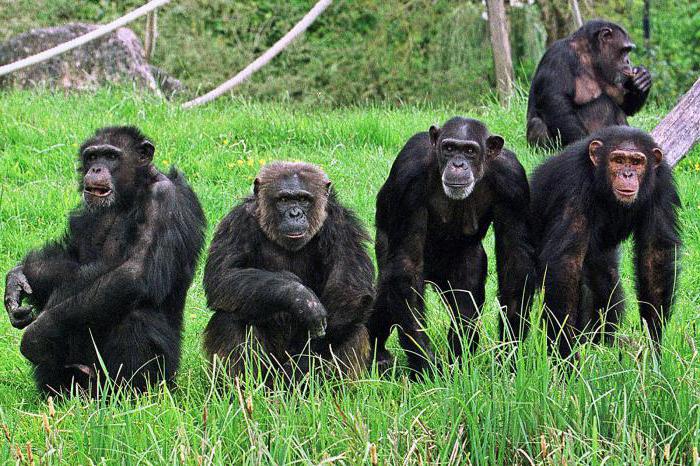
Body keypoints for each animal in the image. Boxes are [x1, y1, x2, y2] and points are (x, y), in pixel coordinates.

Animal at [3, 125, 205, 396]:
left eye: (110, 156)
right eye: (92, 156)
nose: (96, 169)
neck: (130, 194)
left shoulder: (165, 199)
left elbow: (135, 271)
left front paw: (39, 332)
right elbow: (73, 261)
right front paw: (17, 278)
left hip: (163, 374)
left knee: (135, 316)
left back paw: (134, 394)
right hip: (80, 377)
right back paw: (57, 395)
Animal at [205, 162, 374, 380]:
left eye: (303, 199)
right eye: (284, 199)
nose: (295, 214)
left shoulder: (343, 227)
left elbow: (348, 288)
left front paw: (303, 364)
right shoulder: (237, 223)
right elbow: (222, 276)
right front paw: (301, 298)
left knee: (354, 328)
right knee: (228, 318)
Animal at [366, 117, 536, 374]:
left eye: (470, 151)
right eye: (448, 148)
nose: (457, 164)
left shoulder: (513, 181)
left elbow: (515, 262)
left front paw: (508, 354)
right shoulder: (409, 175)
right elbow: (406, 267)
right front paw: (426, 365)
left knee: (466, 305)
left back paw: (459, 363)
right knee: (389, 290)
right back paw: (376, 354)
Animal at [528, 19, 652, 147]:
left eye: (628, 51)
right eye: (624, 50)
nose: (628, 61)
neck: (591, 56)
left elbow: (624, 105)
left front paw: (642, 79)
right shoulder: (558, 56)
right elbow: (556, 100)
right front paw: (580, 143)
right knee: (537, 124)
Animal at [532, 125, 680, 358]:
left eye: (636, 162)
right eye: (618, 160)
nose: (627, 174)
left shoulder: (662, 183)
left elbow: (655, 255)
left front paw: (653, 346)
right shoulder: (573, 185)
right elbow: (566, 261)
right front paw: (564, 353)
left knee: (606, 283)